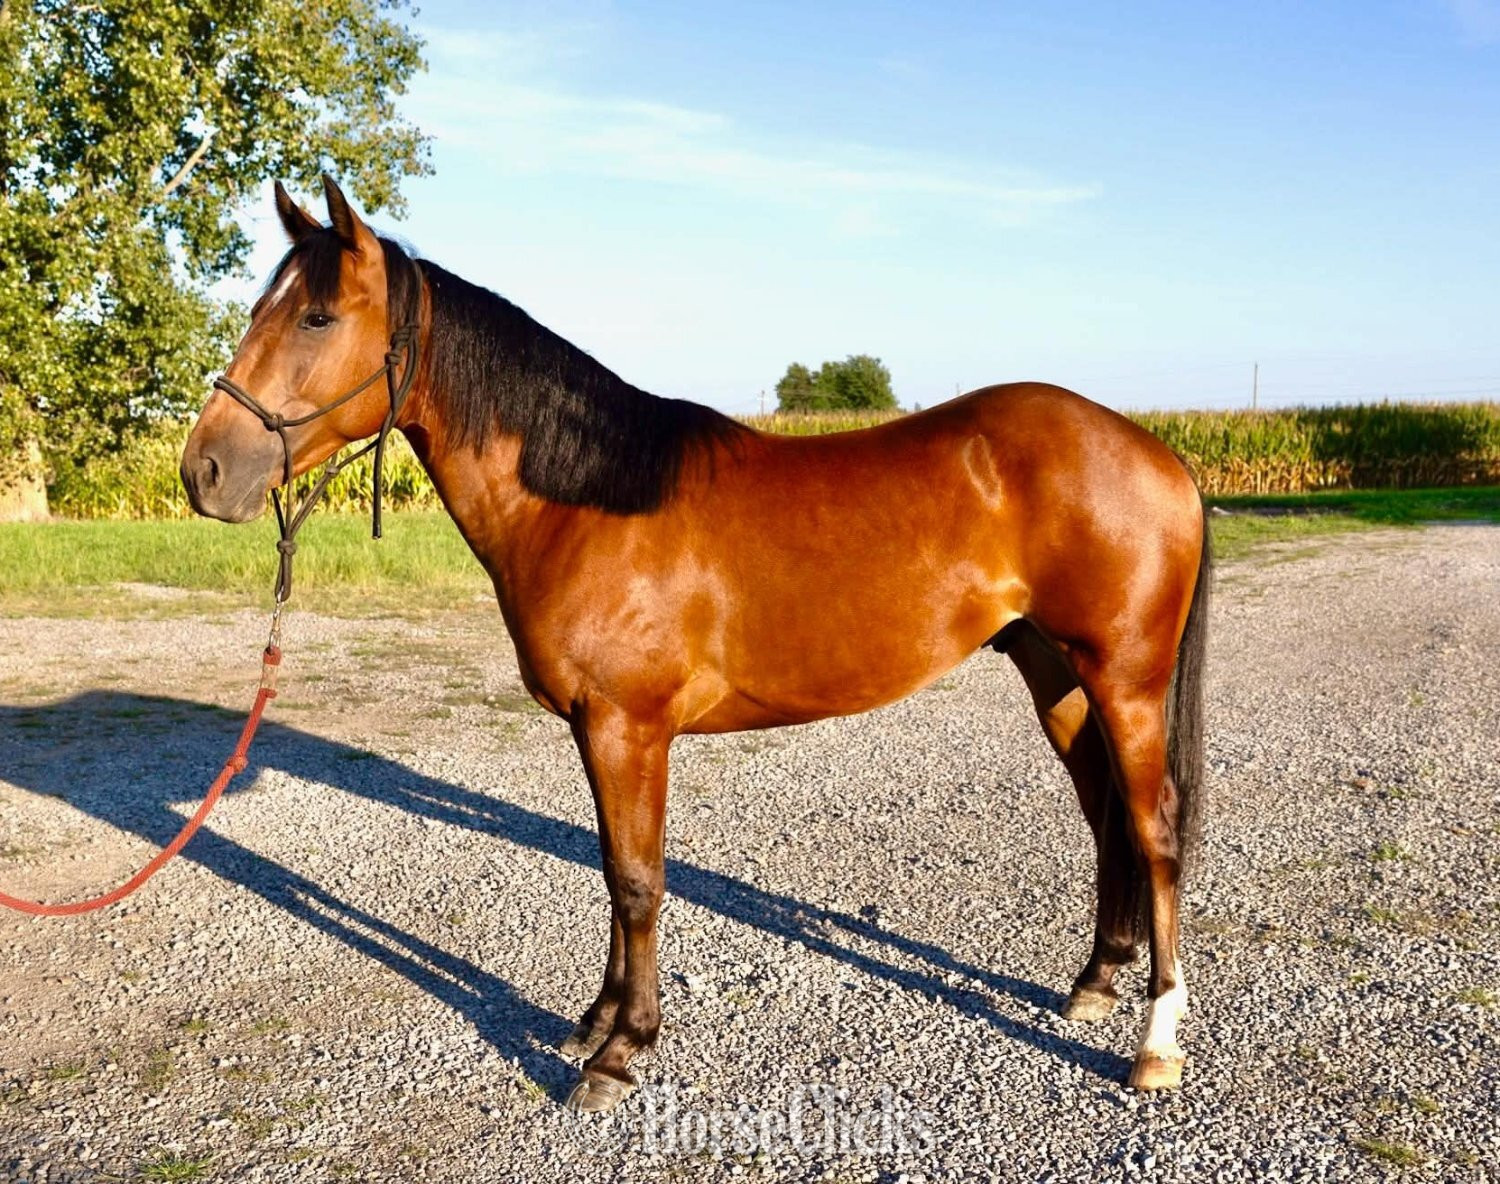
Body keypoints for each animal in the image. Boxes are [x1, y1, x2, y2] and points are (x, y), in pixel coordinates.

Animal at [181, 177, 1210, 1114]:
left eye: (316, 316)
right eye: (262, 308)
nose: (205, 471)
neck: (589, 500)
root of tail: (1155, 451)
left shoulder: (628, 727)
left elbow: (637, 880)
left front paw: (619, 1054)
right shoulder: (596, 729)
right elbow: (610, 870)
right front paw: (597, 1021)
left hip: (1125, 679)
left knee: (1155, 826)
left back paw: (1156, 1044)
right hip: (1056, 675)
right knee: (1107, 814)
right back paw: (1095, 983)